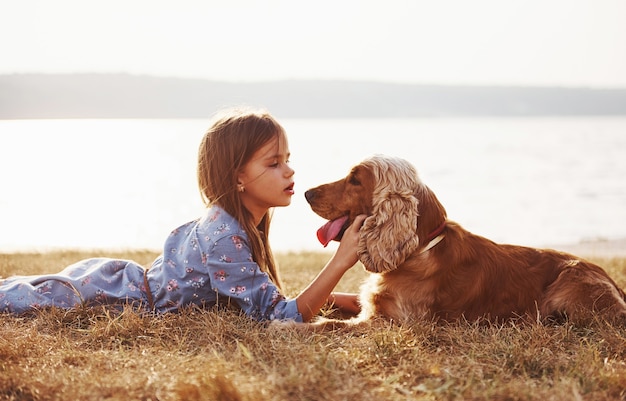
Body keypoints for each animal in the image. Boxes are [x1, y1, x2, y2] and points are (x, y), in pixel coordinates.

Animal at [304, 154, 624, 324]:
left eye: (355, 180)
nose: (306, 193)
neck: (419, 250)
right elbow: (337, 298)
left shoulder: (387, 322)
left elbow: (327, 326)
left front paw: (293, 326)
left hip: (567, 287)